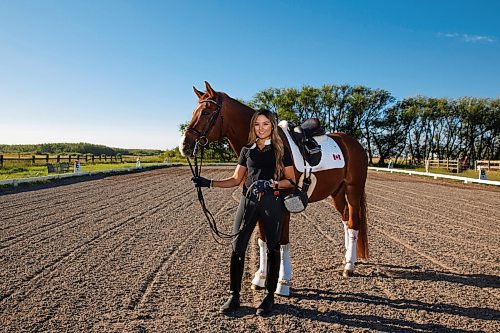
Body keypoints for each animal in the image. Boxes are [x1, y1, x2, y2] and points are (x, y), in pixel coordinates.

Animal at [180, 81, 368, 294]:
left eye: (205, 112)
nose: (184, 146)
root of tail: (354, 143)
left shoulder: (284, 205)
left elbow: (282, 242)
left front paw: (283, 282)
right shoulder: (257, 200)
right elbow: (263, 241)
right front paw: (260, 277)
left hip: (353, 190)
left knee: (353, 224)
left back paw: (349, 266)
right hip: (337, 192)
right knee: (345, 219)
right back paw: (347, 258)